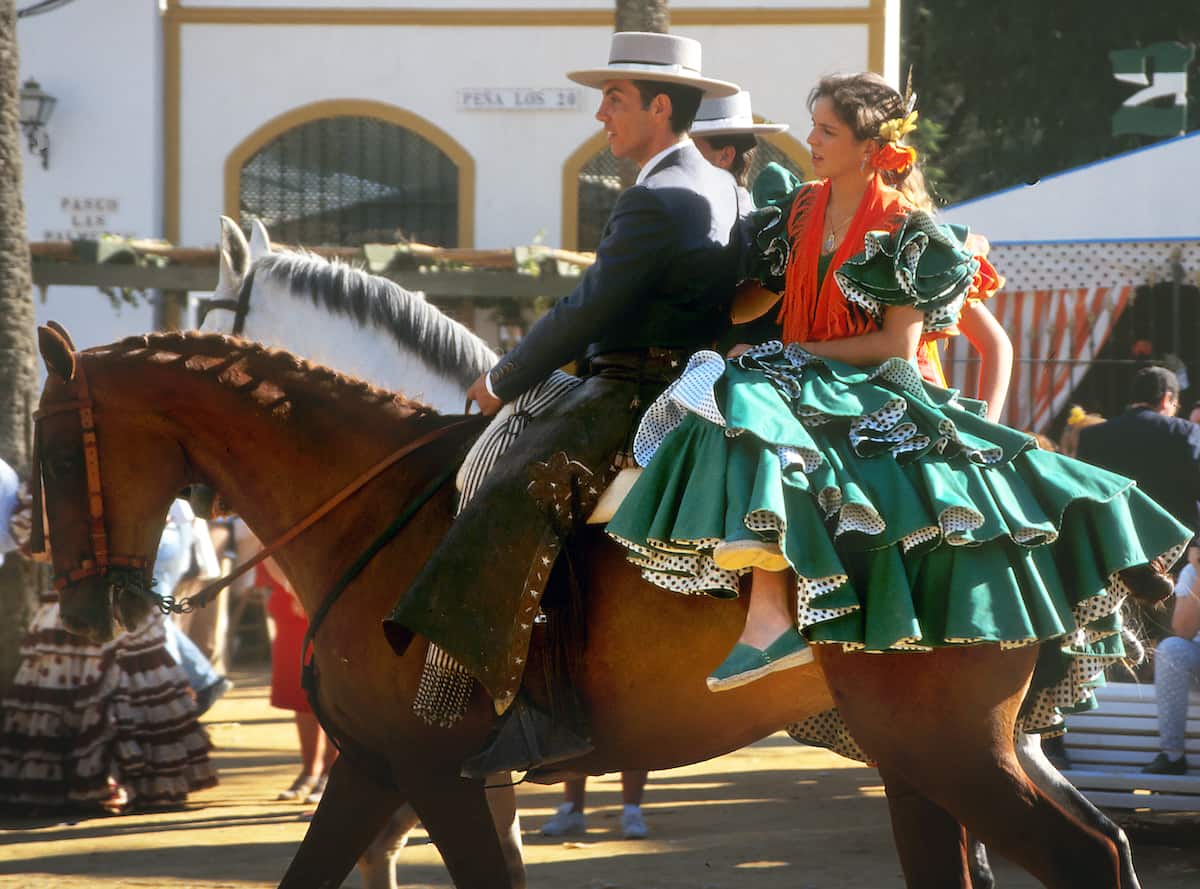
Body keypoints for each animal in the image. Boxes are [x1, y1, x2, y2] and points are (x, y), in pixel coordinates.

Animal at [30, 328, 1132, 887]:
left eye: (50, 454)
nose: (79, 614)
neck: (374, 510)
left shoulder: (433, 773)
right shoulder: (380, 768)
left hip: (950, 750)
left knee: (1083, 857)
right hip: (934, 757)